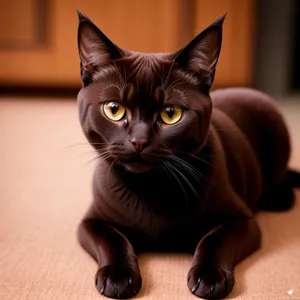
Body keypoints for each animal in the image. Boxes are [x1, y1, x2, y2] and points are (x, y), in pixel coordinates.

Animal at [75, 10, 300, 298]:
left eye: (171, 114)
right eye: (114, 109)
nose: (139, 141)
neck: (150, 188)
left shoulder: (242, 221)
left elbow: (214, 239)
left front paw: (209, 276)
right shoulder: (90, 221)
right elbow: (112, 239)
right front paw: (117, 275)